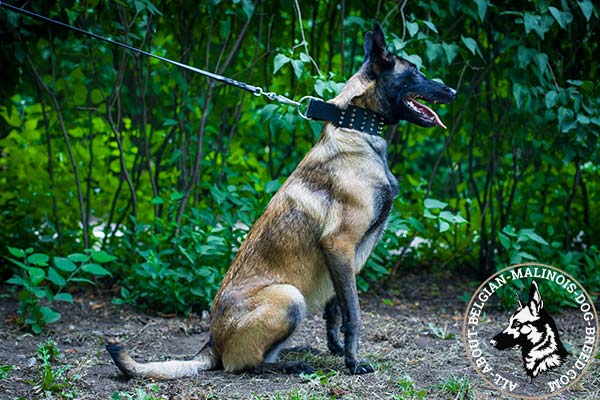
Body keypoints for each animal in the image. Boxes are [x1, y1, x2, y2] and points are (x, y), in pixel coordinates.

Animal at [106, 21, 454, 378]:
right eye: (415, 72)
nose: (452, 91)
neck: (358, 129)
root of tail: (212, 342)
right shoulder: (340, 244)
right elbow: (354, 314)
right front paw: (353, 361)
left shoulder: (349, 255)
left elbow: (336, 309)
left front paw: (338, 350)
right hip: (289, 297)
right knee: (242, 364)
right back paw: (291, 365)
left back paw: (296, 351)